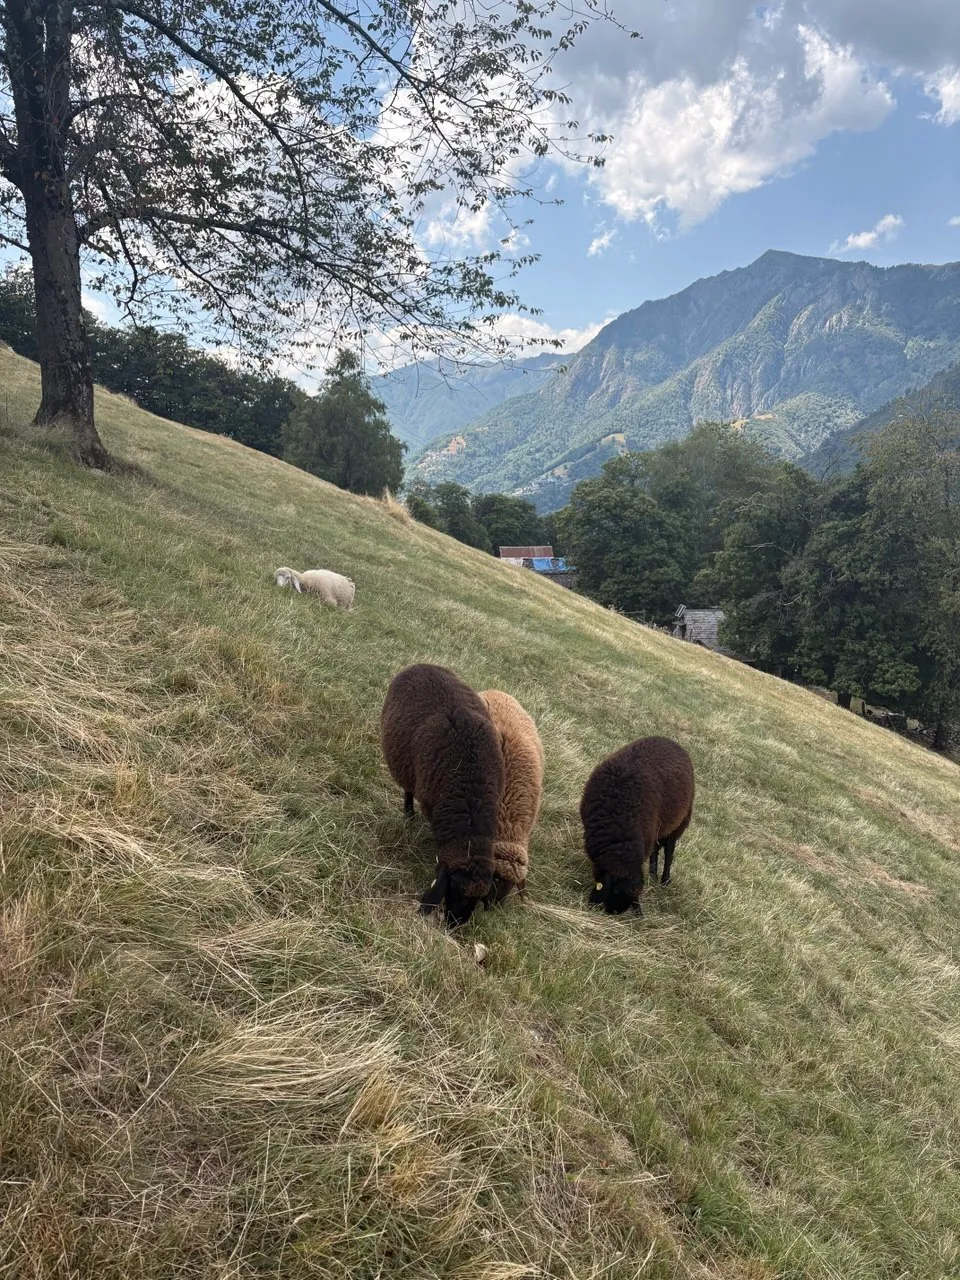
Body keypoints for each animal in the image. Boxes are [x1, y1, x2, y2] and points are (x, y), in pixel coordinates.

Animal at [380, 663, 504, 928]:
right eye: (453, 891)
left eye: (477, 901)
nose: (453, 927)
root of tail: (421, 664)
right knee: (408, 790)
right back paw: (408, 814)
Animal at [579, 736, 694, 915]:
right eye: (615, 890)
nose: (614, 912)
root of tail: (669, 740)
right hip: (658, 827)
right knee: (656, 849)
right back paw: (653, 875)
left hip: (679, 822)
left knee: (669, 850)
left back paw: (664, 880)